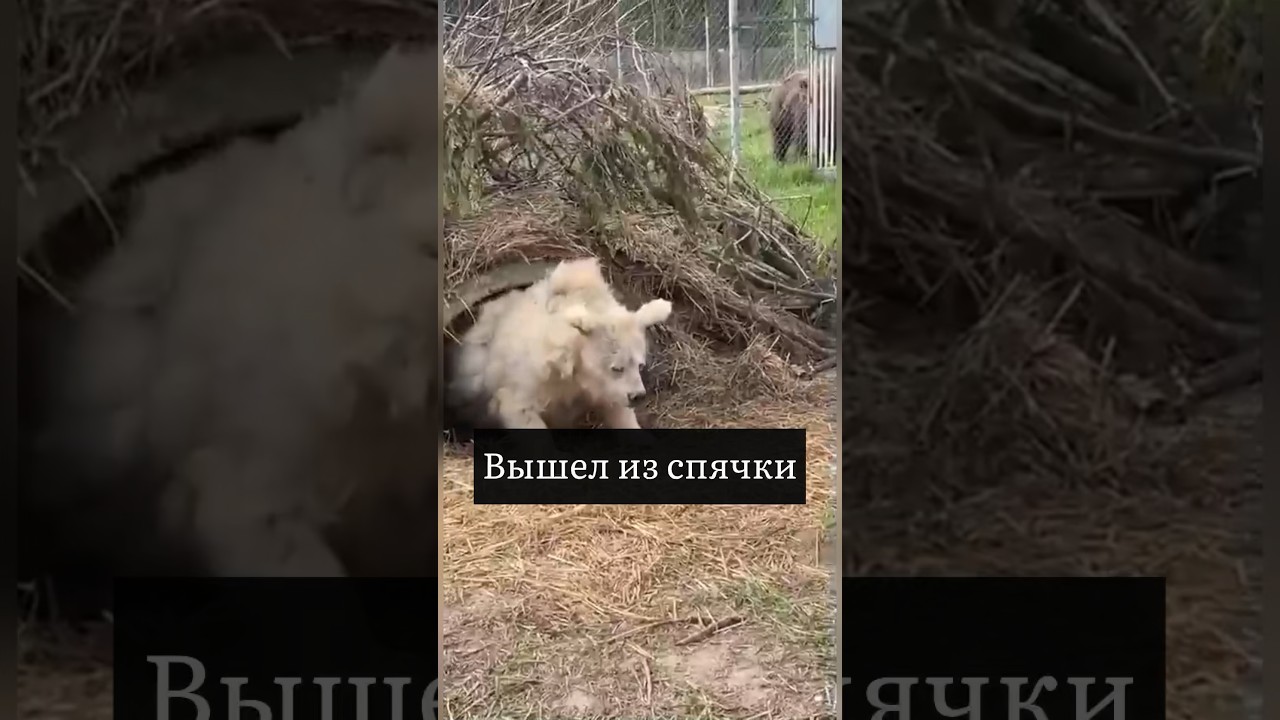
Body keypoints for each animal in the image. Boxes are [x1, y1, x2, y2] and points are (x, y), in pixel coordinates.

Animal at [446, 257, 673, 431]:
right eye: (616, 367)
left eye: (640, 365)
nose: (638, 396)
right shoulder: (528, 380)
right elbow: (520, 409)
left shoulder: (602, 389)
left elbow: (618, 411)